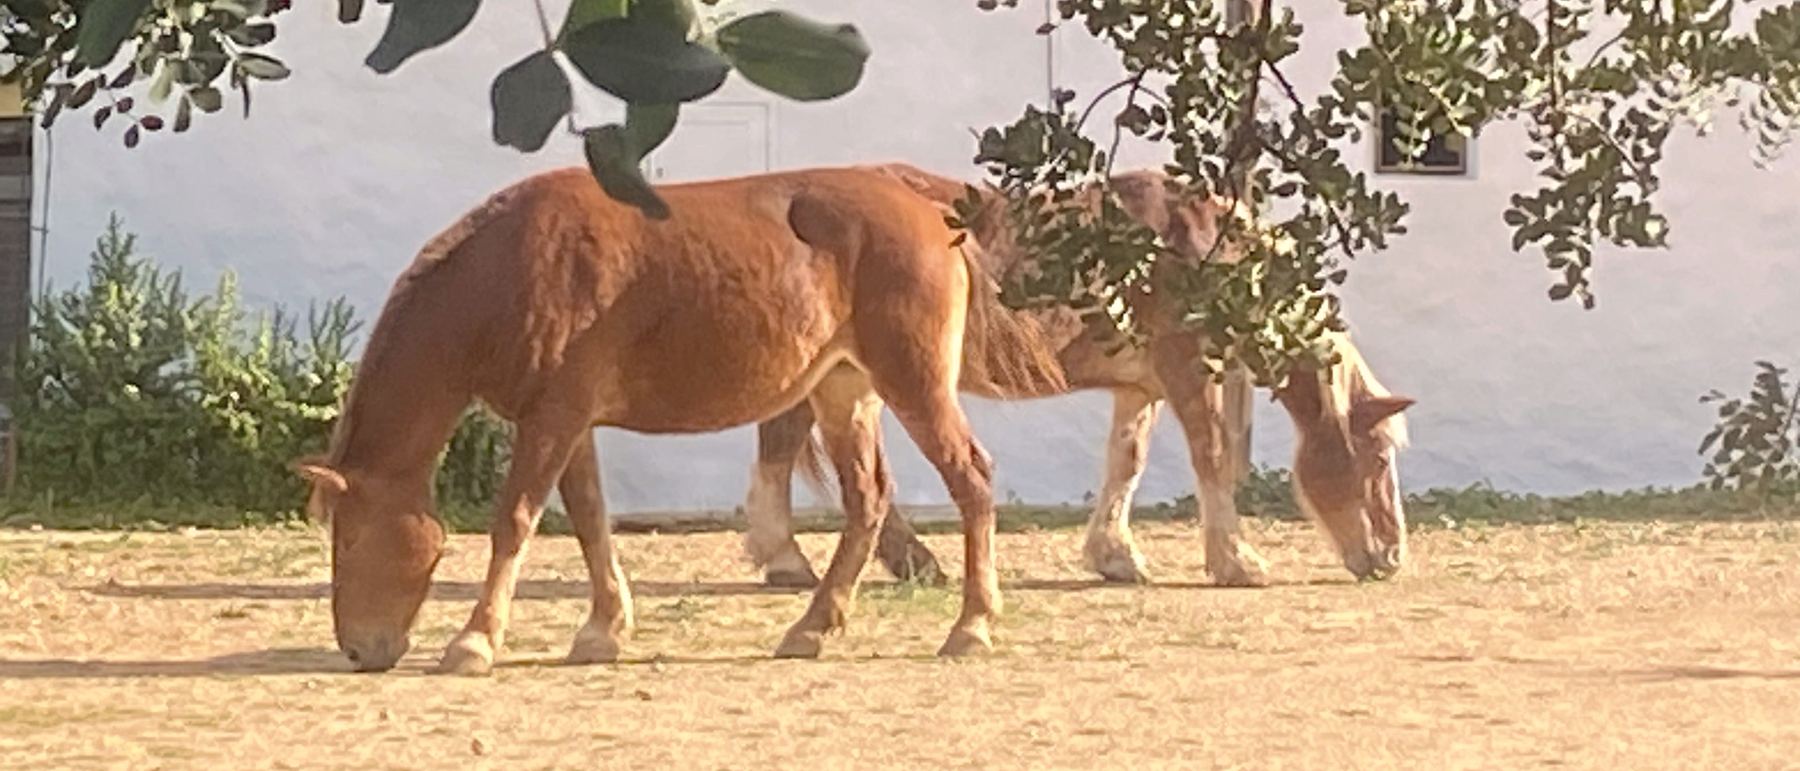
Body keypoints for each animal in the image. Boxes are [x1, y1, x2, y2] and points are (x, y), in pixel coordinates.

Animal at [293, 166, 1066, 674]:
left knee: (970, 480)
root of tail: (930, 209)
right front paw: (603, 629)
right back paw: (812, 627)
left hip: (913, 382)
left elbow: (514, 520)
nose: (359, 649)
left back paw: (971, 627)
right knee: (867, 500)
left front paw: (474, 641)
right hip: (844, 391)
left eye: (350, 539)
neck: (513, 269)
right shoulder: (570, 422)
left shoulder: (552, 418)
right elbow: (589, 518)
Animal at [738, 164, 1414, 589]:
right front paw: (1236, 561)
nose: (1391, 558)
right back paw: (796, 557)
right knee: (786, 443)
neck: (1201, 251)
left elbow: (1127, 462)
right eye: (1378, 457)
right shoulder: (1188, 369)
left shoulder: (1142, 388)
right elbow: (1214, 455)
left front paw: (1114, 556)